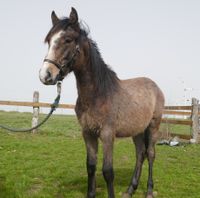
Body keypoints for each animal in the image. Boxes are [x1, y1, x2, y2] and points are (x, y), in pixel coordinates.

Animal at [38, 6, 164, 197]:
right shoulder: (88, 133)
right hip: (137, 130)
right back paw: (130, 189)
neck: (97, 95)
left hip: (153, 126)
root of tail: (155, 87)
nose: (45, 75)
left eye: (68, 39)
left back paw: (149, 190)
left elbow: (108, 171)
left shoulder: (107, 135)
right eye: (49, 41)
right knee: (140, 154)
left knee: (150, 154)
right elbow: (90, 166)